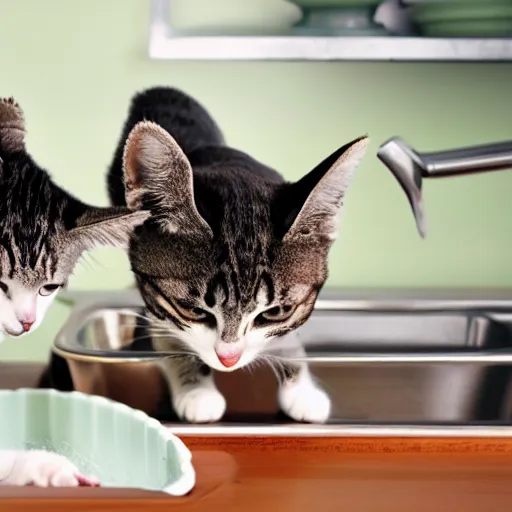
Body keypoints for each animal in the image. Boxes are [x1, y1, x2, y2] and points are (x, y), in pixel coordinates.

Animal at [106, 88, 368, 424]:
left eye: (275, 312)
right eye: (191, 310)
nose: (228, 359)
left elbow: (288, 333)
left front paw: (300, 387)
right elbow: (165, 326)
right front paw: (194, 386)